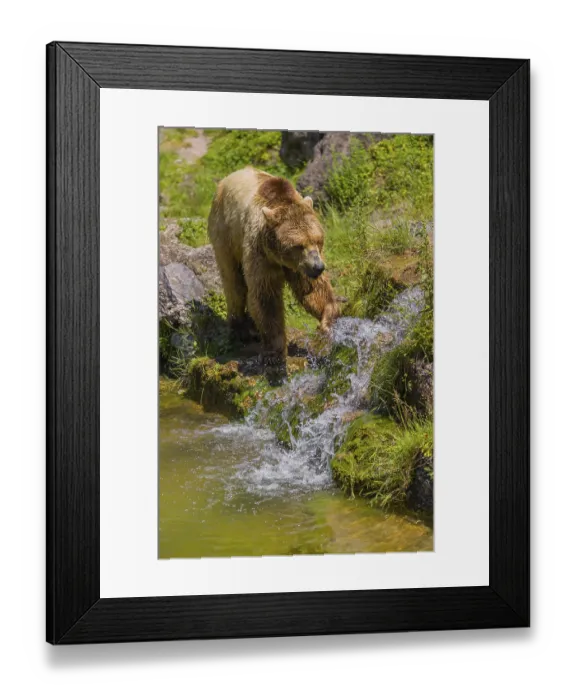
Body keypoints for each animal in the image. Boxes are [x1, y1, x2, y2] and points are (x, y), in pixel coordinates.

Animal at [208, 166, 340, 362]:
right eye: (299, 245)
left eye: (317, 240)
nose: (318, 267)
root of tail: (225, 180)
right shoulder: (260, 252)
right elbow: (265, 296)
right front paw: (275, 351)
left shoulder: (301, 267)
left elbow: (313, 289)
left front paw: (327, 320)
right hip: (225, 234)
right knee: (234, 283)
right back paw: (241, 330)